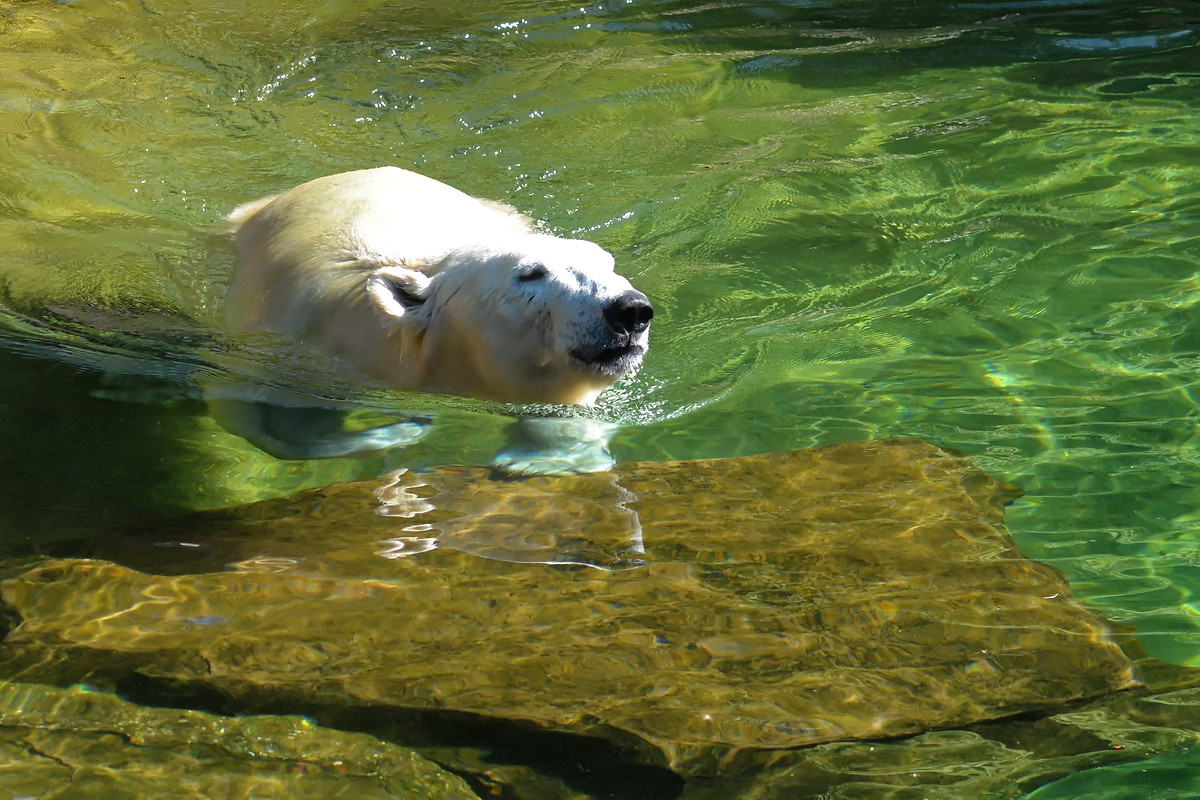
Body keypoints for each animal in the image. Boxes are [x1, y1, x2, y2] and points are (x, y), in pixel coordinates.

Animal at [216, 169, 652, 470]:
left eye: (608, 265)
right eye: (530, 273)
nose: (630, 310)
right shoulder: (283, 350)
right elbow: (268, 424)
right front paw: (401, 431)